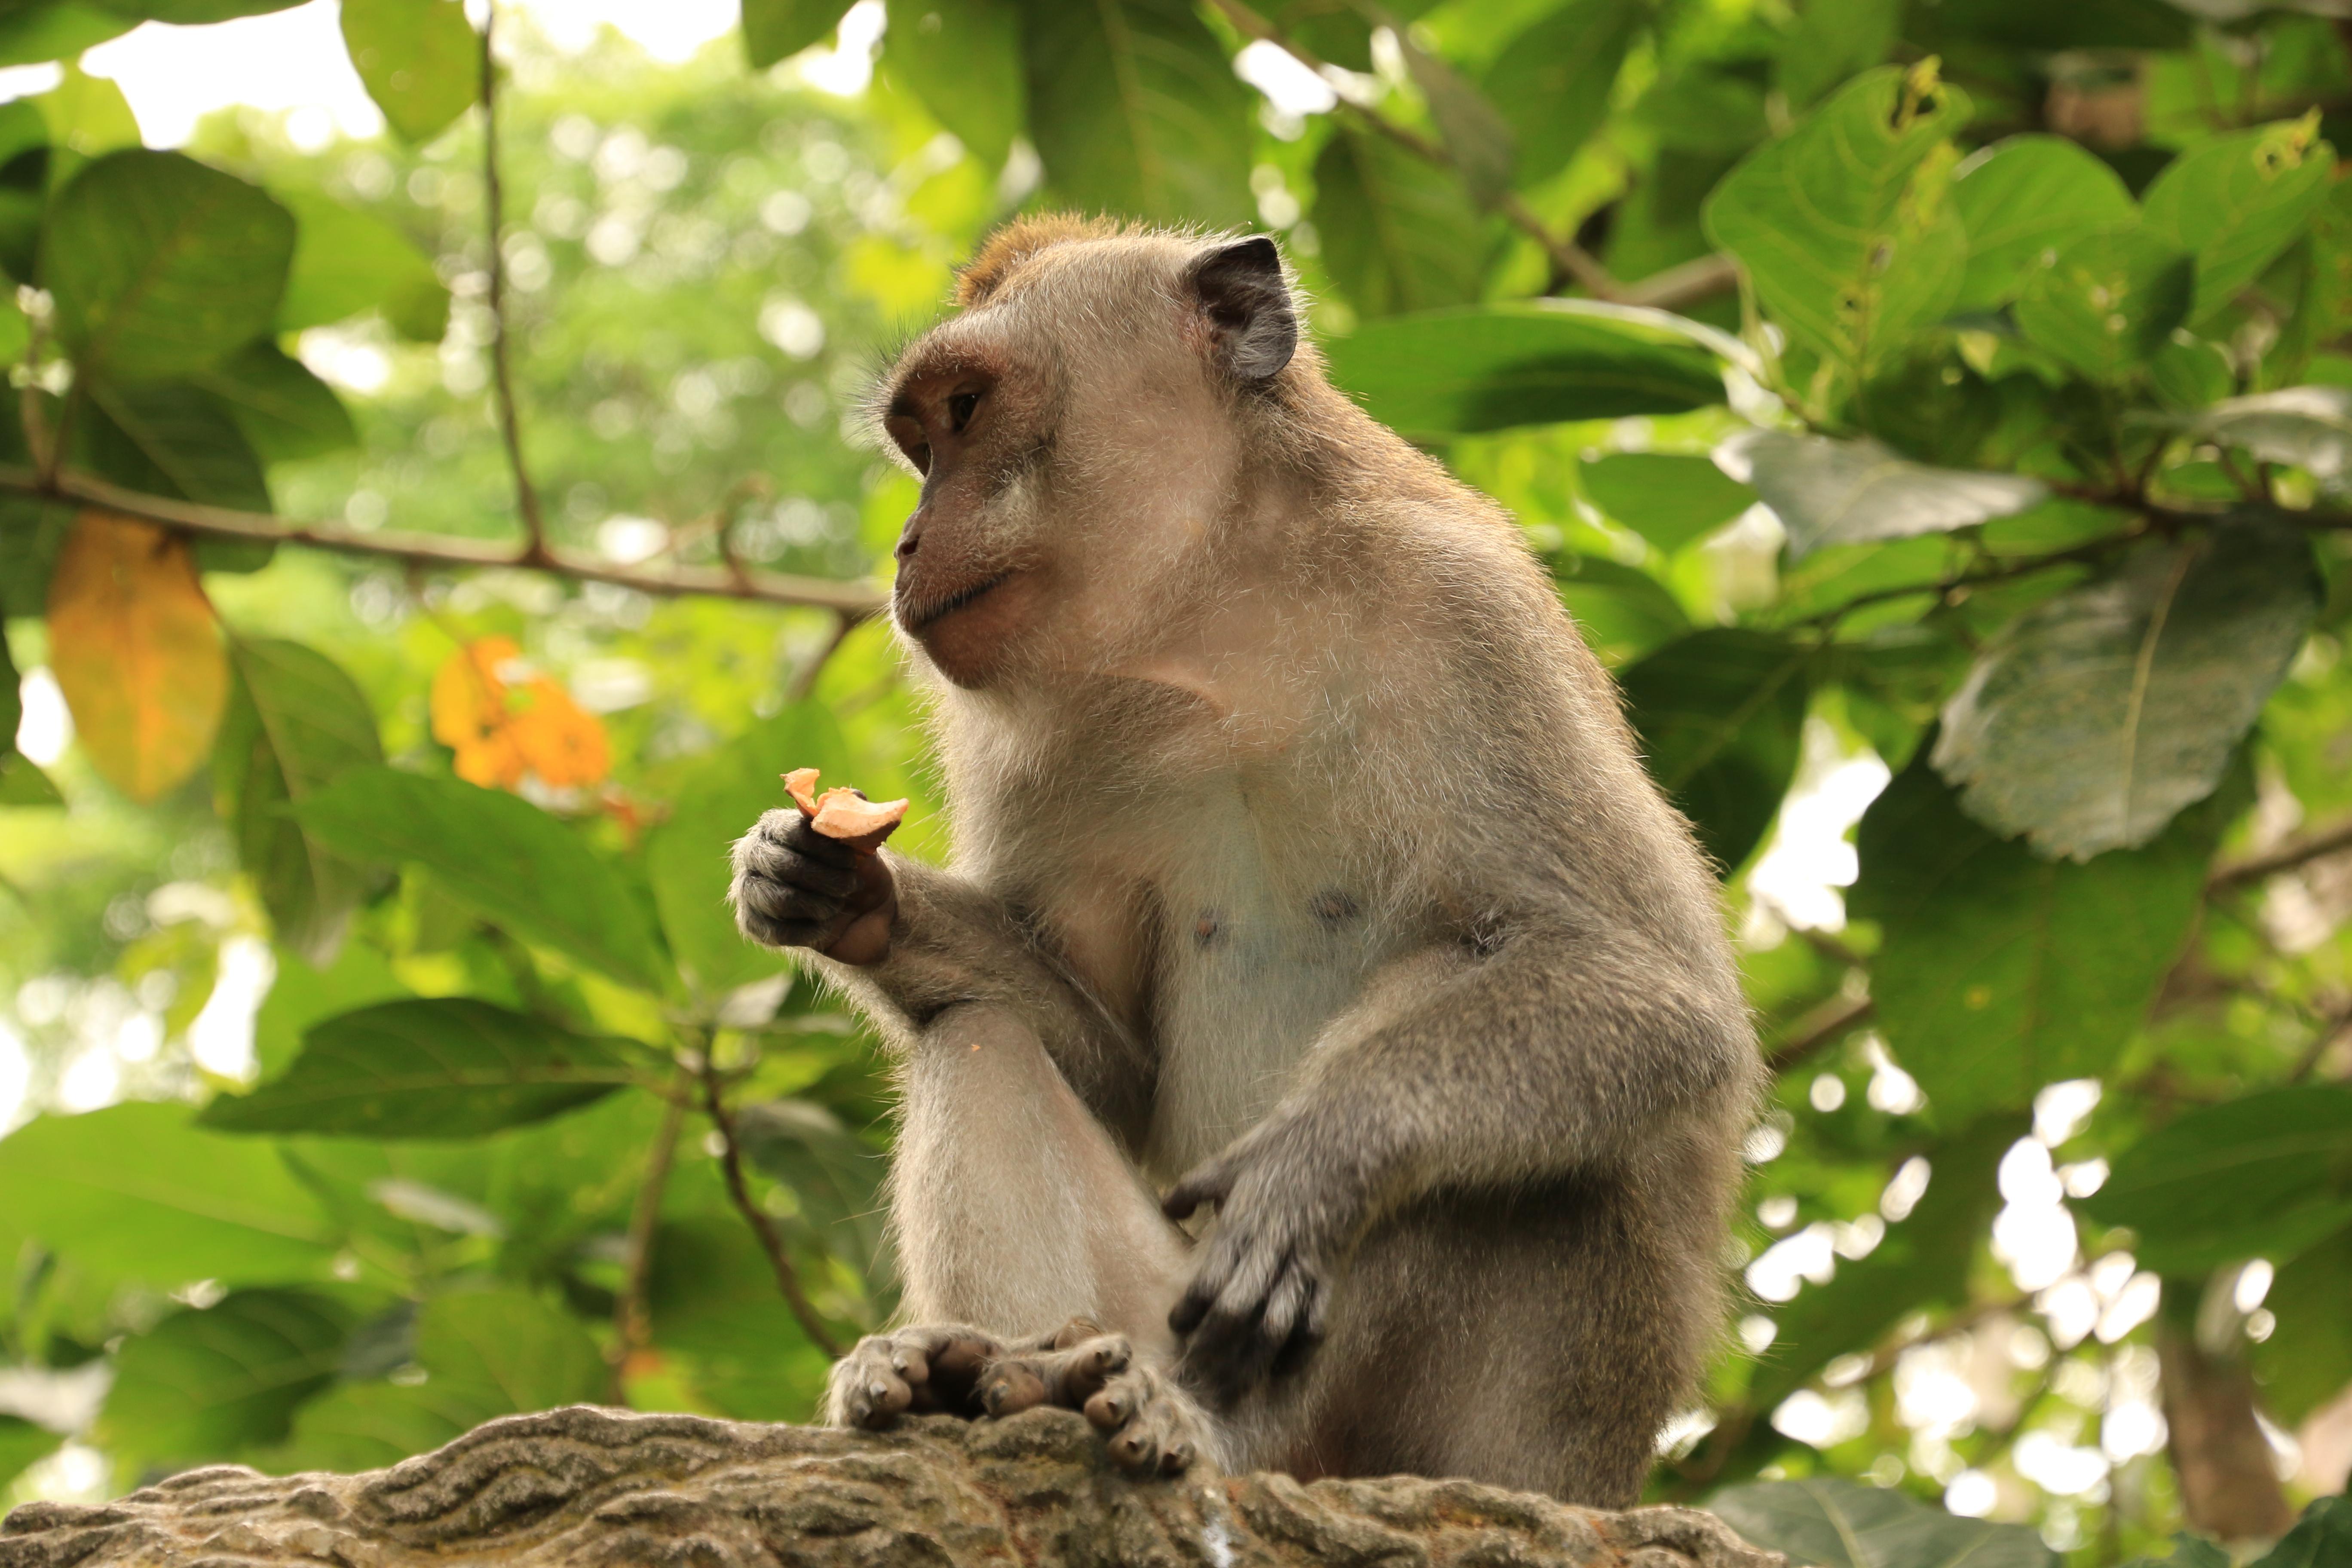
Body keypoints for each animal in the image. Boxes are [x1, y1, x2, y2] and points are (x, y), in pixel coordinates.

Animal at [728, 216, 1761, 1505]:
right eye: (921, 441)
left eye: (965, 411)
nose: (910, 543)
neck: (1214, 628)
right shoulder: (1021, 752)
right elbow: (1113, 1067)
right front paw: (835, 890)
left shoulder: (1469, 617)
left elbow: (1659, 990)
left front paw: (1314, 1163)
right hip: (1147, 1302)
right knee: (980, 1039)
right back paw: (992, 1376)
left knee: (1513, 1080)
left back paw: (1210, 1430)